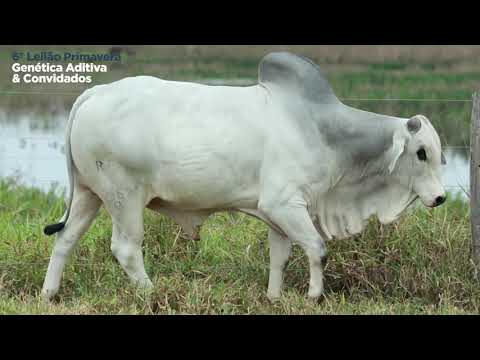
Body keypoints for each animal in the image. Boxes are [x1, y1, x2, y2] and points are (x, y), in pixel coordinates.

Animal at [41, 52, 446, 300]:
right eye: (421, 152)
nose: (441, 198)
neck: (323, 130)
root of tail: (95, 92)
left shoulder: (279, 215)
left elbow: (281, 257)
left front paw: (274, 297)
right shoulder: (285, 204)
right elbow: (318, 249)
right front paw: (314, 296)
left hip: (90, 193)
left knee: (65, 239)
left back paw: (50, 293)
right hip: (125, 196)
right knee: (125, 249)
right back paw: (150, 293)